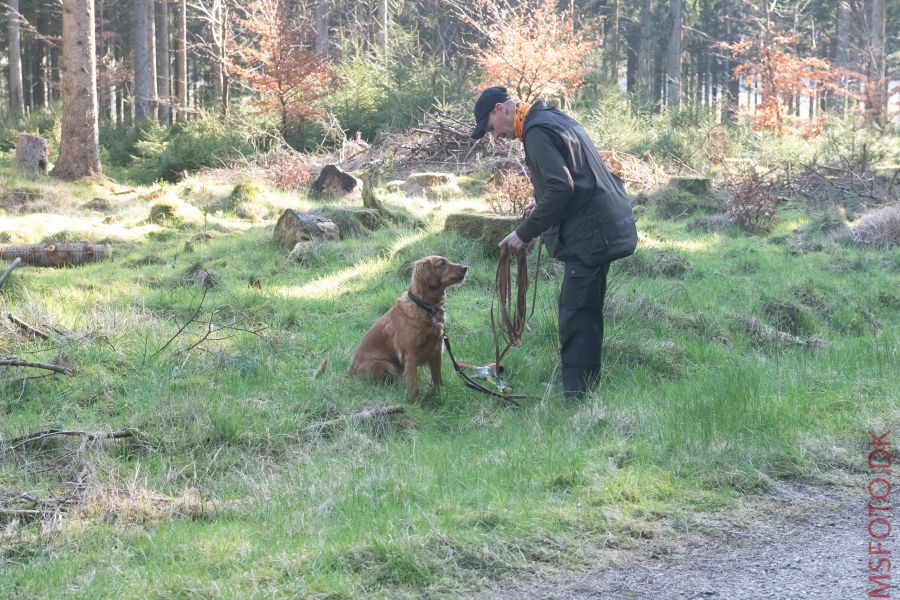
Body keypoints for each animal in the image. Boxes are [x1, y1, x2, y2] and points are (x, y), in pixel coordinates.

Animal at [348, 254, 468, 404]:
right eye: (442, 263)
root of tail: (350, 372)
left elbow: (437, 378)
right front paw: (414, 405)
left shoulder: (436, 350)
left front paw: (439, 395)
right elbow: (414, 386)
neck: (426, 307)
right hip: (385, 364)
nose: (466, 268)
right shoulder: (410, 355)